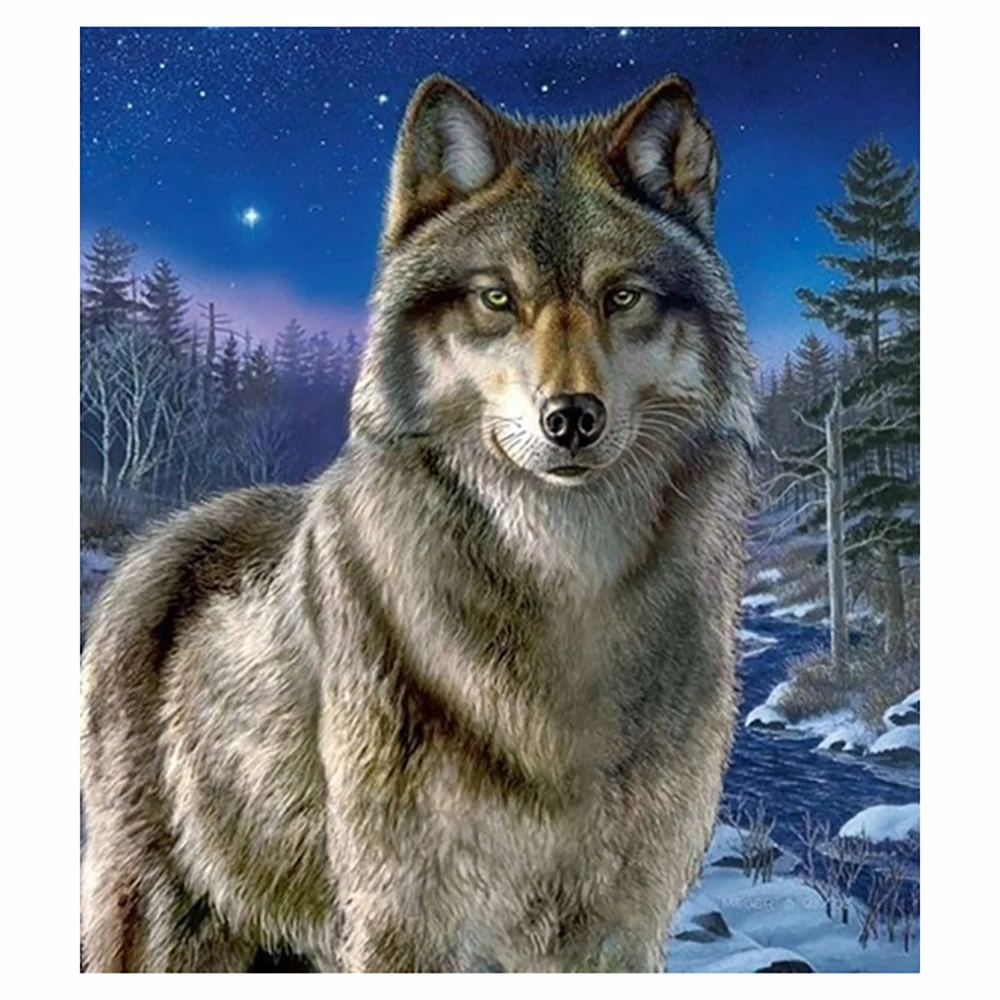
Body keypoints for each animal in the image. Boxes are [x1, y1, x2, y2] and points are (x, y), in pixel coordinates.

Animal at [80, 72, 757, 973]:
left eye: (623, 298)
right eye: (497, 298)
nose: (571, 419)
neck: (564, 594)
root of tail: (158, 542)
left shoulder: (619, 929)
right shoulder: (404, 923)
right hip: (162, 927)